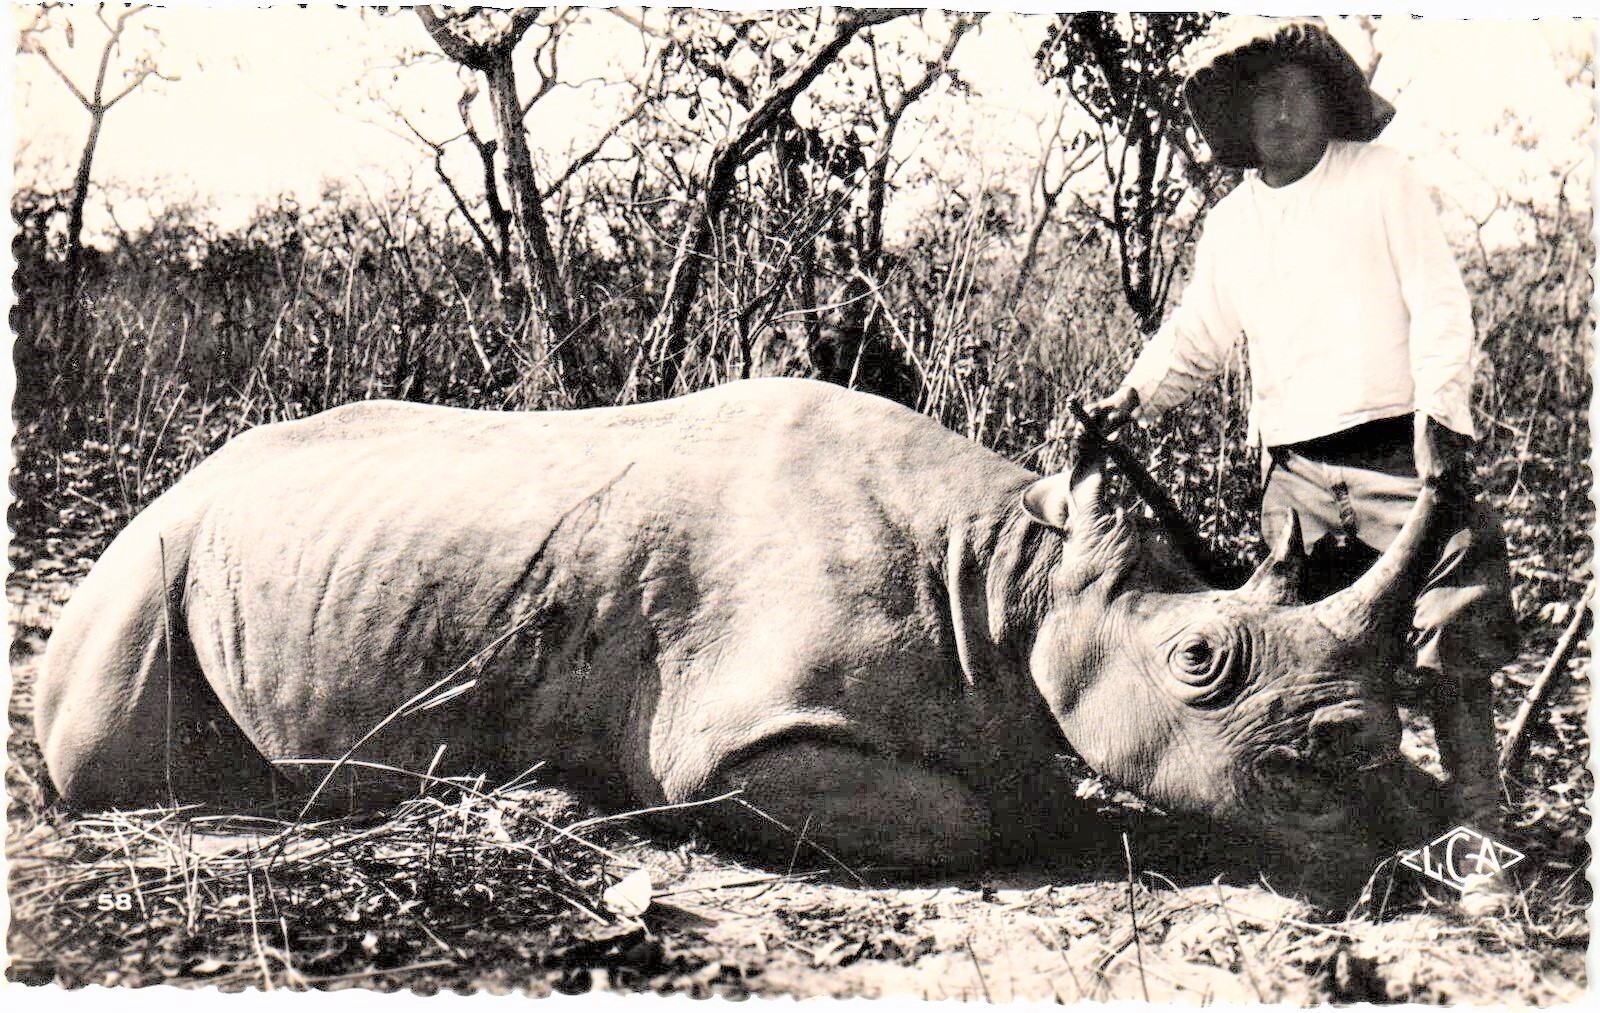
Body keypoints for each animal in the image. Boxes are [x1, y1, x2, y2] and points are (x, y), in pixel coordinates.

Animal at [36, 379, 1449, 875]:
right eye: (1200, 661)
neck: (1019, 577)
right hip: (149, 552)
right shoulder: (733, 729)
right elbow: (965, 818)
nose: (1370, 795)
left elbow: (1016, 782)